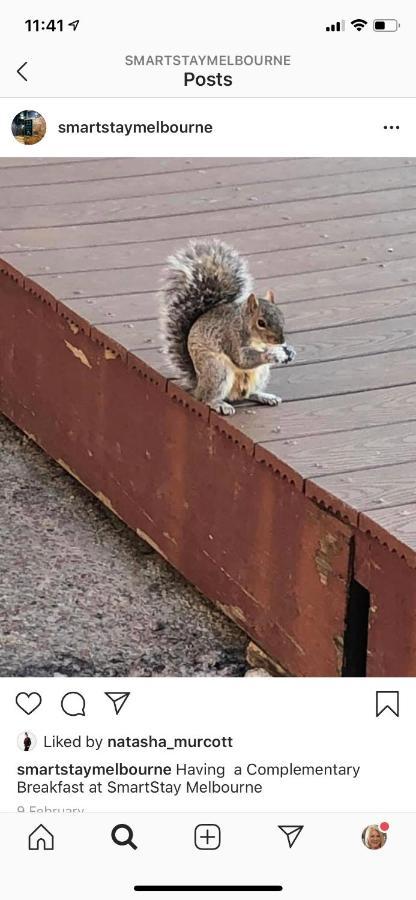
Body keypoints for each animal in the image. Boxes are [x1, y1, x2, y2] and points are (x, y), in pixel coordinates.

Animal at [160, 237, 296, 416]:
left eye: (282, 316)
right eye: (261, 323)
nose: (280, 340)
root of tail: (198, 385)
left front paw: (289, 350)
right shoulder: (230, 337)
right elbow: (242, 359)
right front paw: (270, 354)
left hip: (261, 373)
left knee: (249, 393)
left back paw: (264, 396)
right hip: (217, 370)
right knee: (207, 398)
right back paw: (219, 404)